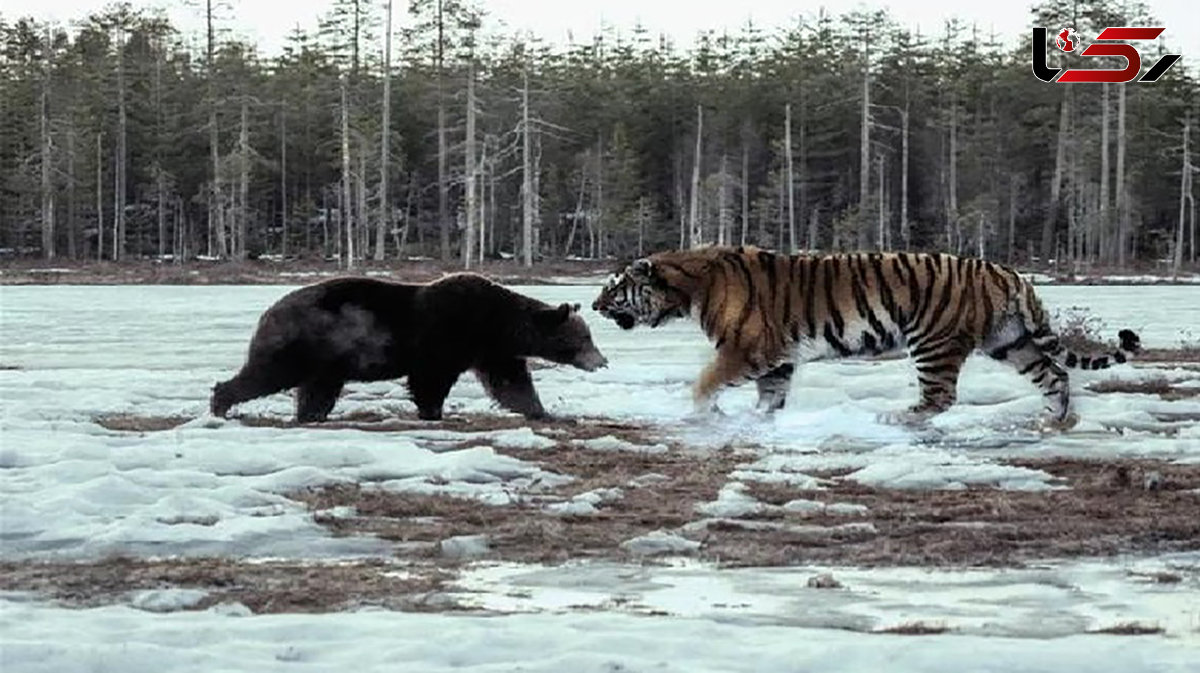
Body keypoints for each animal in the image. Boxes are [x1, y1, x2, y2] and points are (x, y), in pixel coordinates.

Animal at [208, 271, 609, 419]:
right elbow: (430, 381)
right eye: (584, 338)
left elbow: (512, 382)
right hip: (304, 342)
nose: (602, 361)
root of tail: (268, 311)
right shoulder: (447, 336)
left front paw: (542, 411)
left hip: (328, 359)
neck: (498, 322)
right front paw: (433, 412)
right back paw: (221, 402)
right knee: (268, 373)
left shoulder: (492, 349)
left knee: (316, 390)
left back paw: (310, 415)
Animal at [595, 243, 1137, 427]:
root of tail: (1011, 273)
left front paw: (701, 414)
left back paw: (893, 417)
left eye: (616, 287)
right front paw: (759, 420)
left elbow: (704, 382)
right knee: (1055, 374)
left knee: (939, 397)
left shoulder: (747, 348)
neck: (687, 288)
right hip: (1010, 341)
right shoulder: (777, 357)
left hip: (933, 341)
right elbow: (771, 397)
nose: (595, 305)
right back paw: (1055, 420)